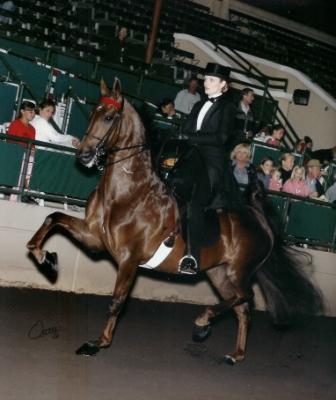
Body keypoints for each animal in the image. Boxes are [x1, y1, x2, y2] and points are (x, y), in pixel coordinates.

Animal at [26, 78, 322, 366]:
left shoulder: (129, 258)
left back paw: (202, 323)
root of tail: (258, 218)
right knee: (242, 309)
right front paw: (45, 259)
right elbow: (53, 218)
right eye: (93, 113)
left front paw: (98, 343)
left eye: (109, 117)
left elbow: (117, 300)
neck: (128, 193)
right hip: (219, 273)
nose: (84, 156)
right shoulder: (94, 239)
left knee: (245, 297)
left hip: (239, 271)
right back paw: (234, 354)